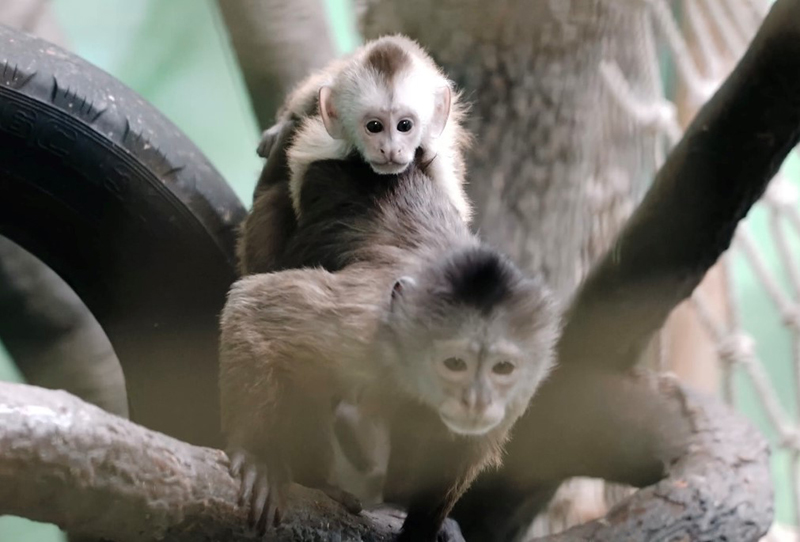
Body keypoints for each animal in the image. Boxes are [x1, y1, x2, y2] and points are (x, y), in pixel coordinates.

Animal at [216, 120, 560, 542]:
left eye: (502, 369)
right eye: (455, 363)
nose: (476, 401)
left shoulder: (520, 391)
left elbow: (458, 450)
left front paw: (422, 529)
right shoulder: (364, 322)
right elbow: (251, 310)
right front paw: (259, 458)